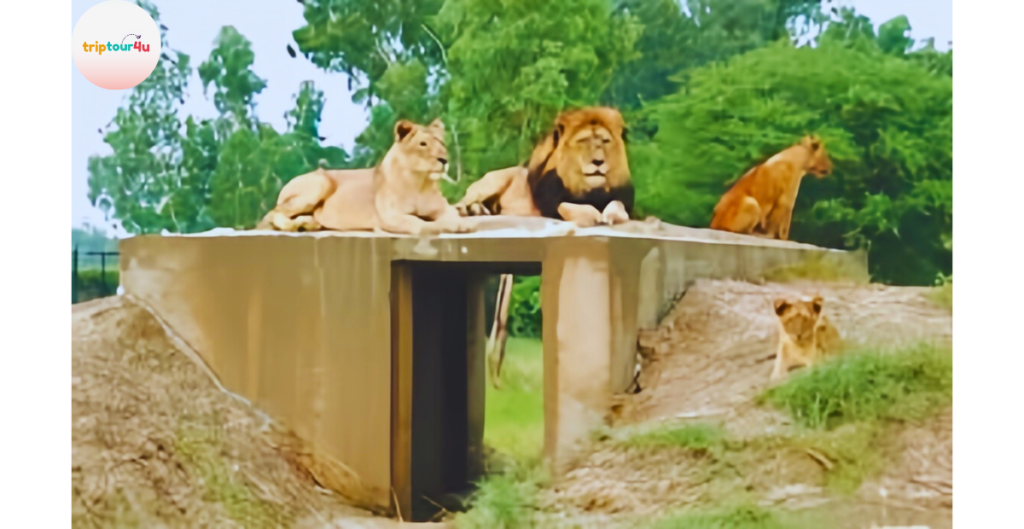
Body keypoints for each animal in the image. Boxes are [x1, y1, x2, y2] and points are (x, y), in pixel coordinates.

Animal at [256, 118, 468, 236]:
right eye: (423, 144)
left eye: (441, 142)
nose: (444, 160)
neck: (419, 182)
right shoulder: (389, 216)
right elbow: (419, 224)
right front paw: (438, 226)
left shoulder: (443, 208)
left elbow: (452, 217)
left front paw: (455, 224)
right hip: (320, 183)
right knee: (274, 213)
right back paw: (298, 226)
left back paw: (309, 224)